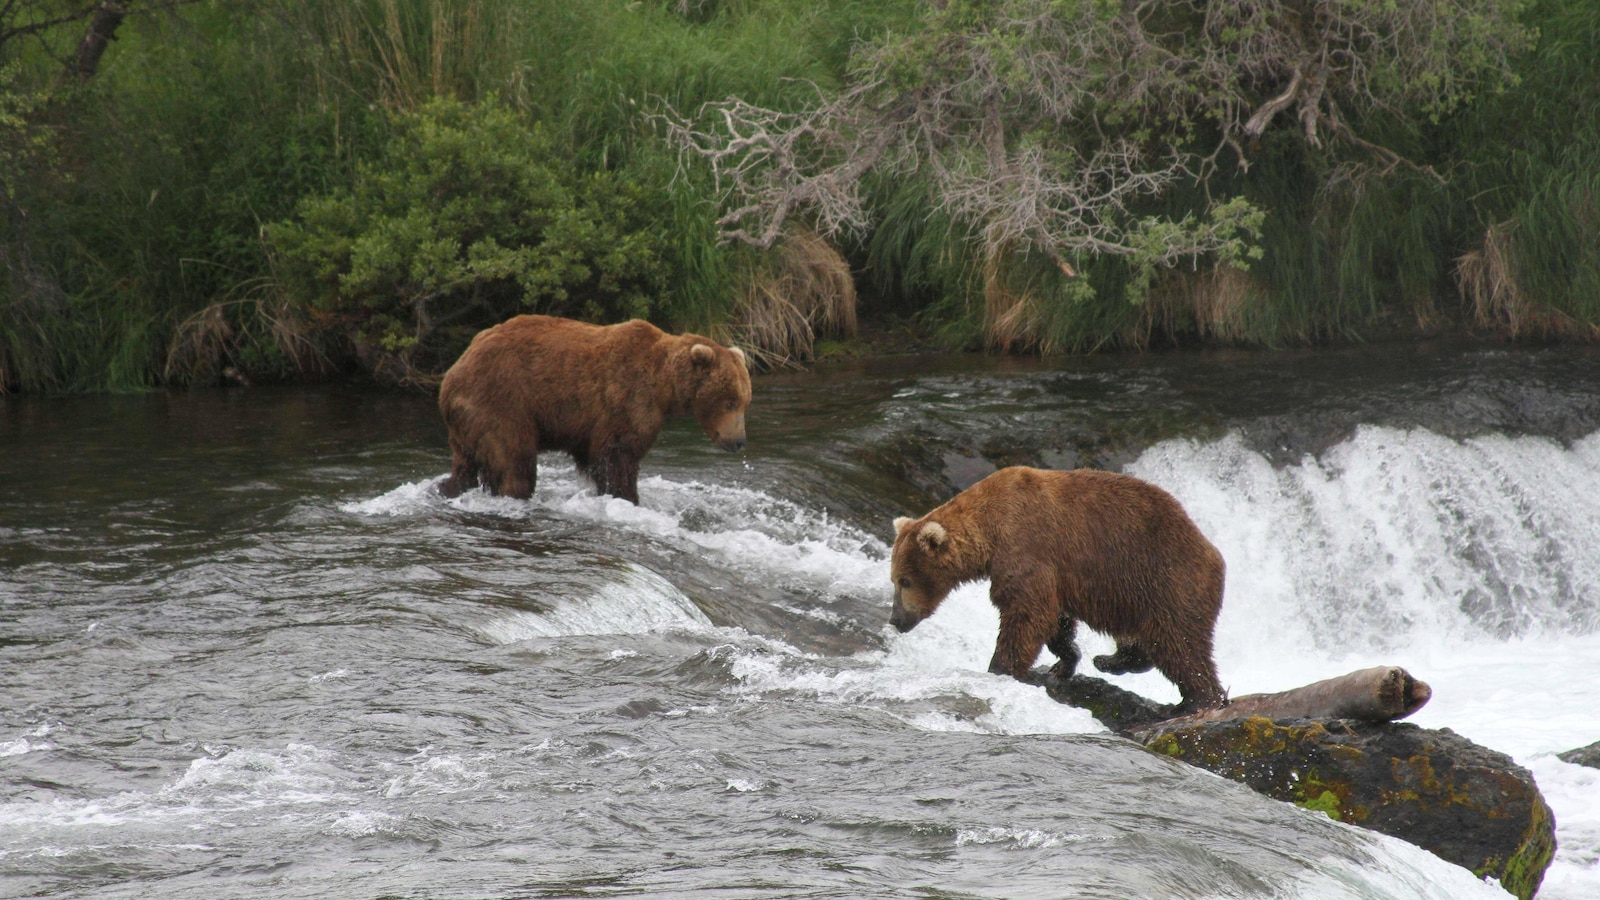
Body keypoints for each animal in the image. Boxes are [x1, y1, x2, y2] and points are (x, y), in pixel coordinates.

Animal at [437, 314, 751, 504]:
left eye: (745, 401)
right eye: (729, 401)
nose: (739, 441)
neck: (664, 385)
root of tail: (451, 376)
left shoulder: (588, 424)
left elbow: (594, 456)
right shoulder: (627, 398)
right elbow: (617, 455)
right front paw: (627, 496)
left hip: (468, 422)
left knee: (466, 464)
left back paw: (446, 488)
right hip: (502, 401)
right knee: (514, 459)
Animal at [889, 466, 1227, 712]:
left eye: (905, 581)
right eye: (894, 579)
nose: (895, 619)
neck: (990, 531)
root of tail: (1215, 554)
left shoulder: (1025, 546)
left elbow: (1027, 613)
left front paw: (1000, 668)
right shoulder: (1053, 572)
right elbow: (1054, 619)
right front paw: (1064, 662)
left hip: (1166, 580)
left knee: (1179, 644)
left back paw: (1197, 700)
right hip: (1135, 597)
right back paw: (1110, 660)